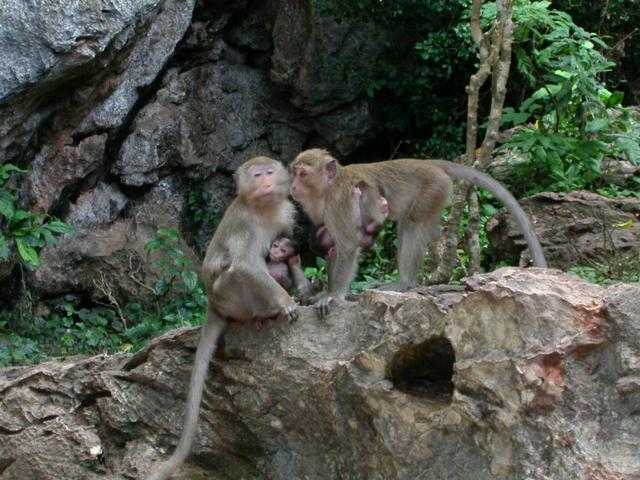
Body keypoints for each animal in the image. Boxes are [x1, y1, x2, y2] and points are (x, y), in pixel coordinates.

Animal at [147, 157, 299, 480]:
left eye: (269, 172)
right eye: (257, 175)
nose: (266, 182)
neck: (262, 208)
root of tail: (212, 303)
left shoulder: (285, 214)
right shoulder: (243, 223)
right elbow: (246, 266)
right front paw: (286, 302)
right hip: (229, 296)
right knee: (236, 273)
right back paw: (265, 312)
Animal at [290, 148, 547, 316]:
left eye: (302, 174)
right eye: (294, 173)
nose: (292, 186)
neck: (328, 188)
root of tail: (431, 164)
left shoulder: (339, 201)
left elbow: (347, 245)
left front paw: (334, 295)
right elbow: (333, 246)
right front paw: (325, 292)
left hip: (433, 188)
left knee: (412, 224)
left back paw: (404, 283)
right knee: (406, 224)